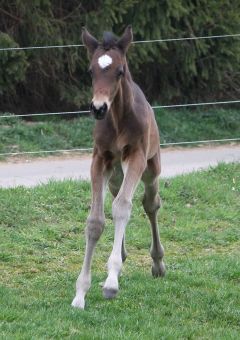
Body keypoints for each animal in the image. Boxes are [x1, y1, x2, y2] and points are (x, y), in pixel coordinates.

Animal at [71, 26, 165, 308]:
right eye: (91, 71)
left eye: (120, 71)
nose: (98, 108)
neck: (117, 119)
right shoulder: (99, 160)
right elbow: (96, 221)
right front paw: (80, 293)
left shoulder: (136, 157)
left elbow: (123, 207)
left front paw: (111, 282)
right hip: (114, 175)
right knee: (115, 196)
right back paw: (121, 255)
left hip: (151, 169)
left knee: (150, 204)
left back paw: (158, 263)